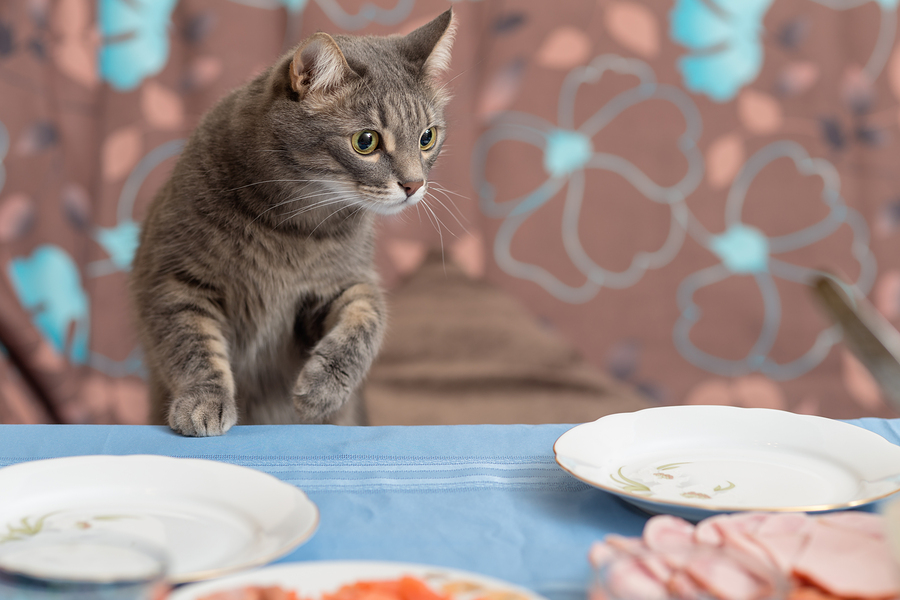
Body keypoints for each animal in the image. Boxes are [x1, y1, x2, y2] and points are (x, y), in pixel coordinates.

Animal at [132, 9, 458, 436]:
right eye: (365, 141)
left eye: (427, 138)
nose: (414, 184)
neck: (294, 226)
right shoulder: (175, 279)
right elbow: (192, 346)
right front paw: (204, 399)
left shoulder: (344, 282)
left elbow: (367, 317)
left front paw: (324, 387)